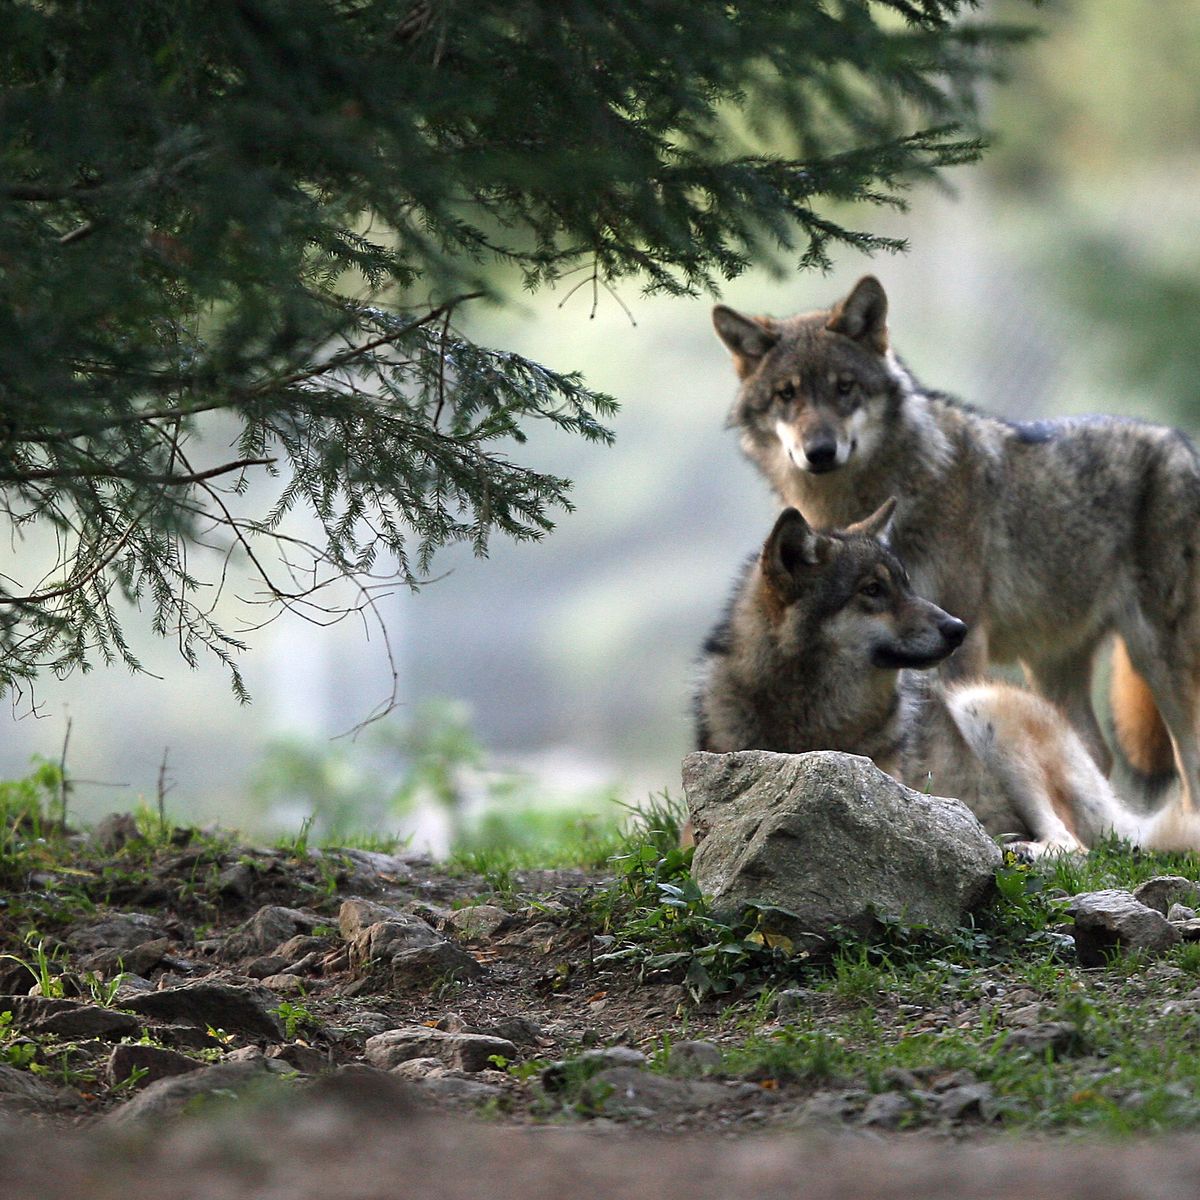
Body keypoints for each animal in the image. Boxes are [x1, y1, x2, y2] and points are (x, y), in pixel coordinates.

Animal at [696, 501, 1200, 859]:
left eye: (906, 584)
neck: (810, 716)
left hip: (982, 709)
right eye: (873, 591)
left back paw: (1016, 849)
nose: (958, 628)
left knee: (1074, 845)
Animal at [710, 276, 1200, 811]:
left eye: (845, 387)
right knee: (1088, 749)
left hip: (1158, 655)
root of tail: (1181, 443)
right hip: (1052, 662)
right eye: (786, 393)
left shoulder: (963, 630)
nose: (819, 452)